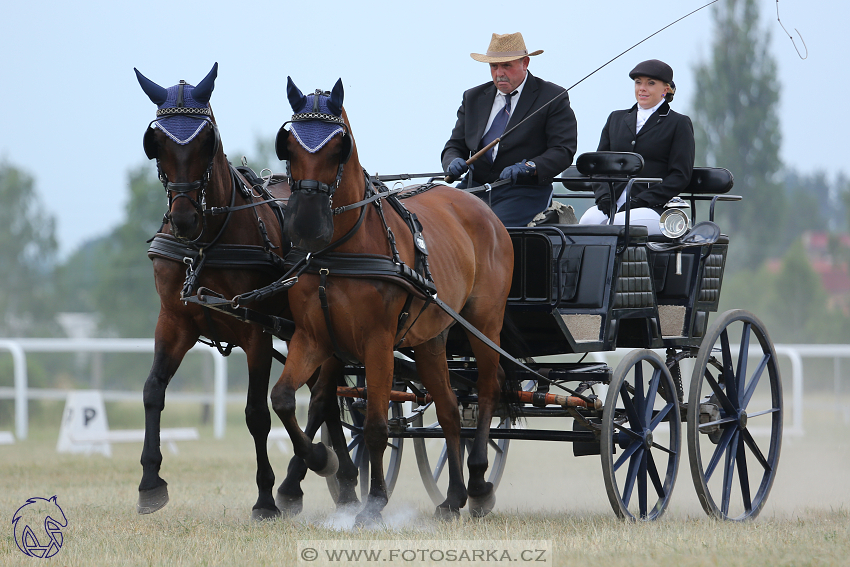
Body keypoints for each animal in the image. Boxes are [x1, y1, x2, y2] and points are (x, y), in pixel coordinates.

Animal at [133, 64, 358, 520]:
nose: (184, 217)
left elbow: (256, 414)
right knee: (325, 400)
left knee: (322, 397)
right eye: (156, 142)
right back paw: (342, 481)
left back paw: (303, 478)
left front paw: (265, 498)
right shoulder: (173, 320)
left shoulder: (255, 331)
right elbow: (152, 391)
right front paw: (150, 482)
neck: (208, 242)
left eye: (206, 140)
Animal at [270, 77, 510, 524]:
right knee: (450, 411)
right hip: (430, 339)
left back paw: (479, 485)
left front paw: (374, 503)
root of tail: (480, 206)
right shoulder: (313, 338)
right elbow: (286, 400)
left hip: (485, 325)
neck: (339, 253)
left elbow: (376, 426)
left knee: (486, 394)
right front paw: (319, 461)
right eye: (288, 145)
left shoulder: (377, 342)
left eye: (339, 146)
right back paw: (453, 497)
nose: (306, 224)